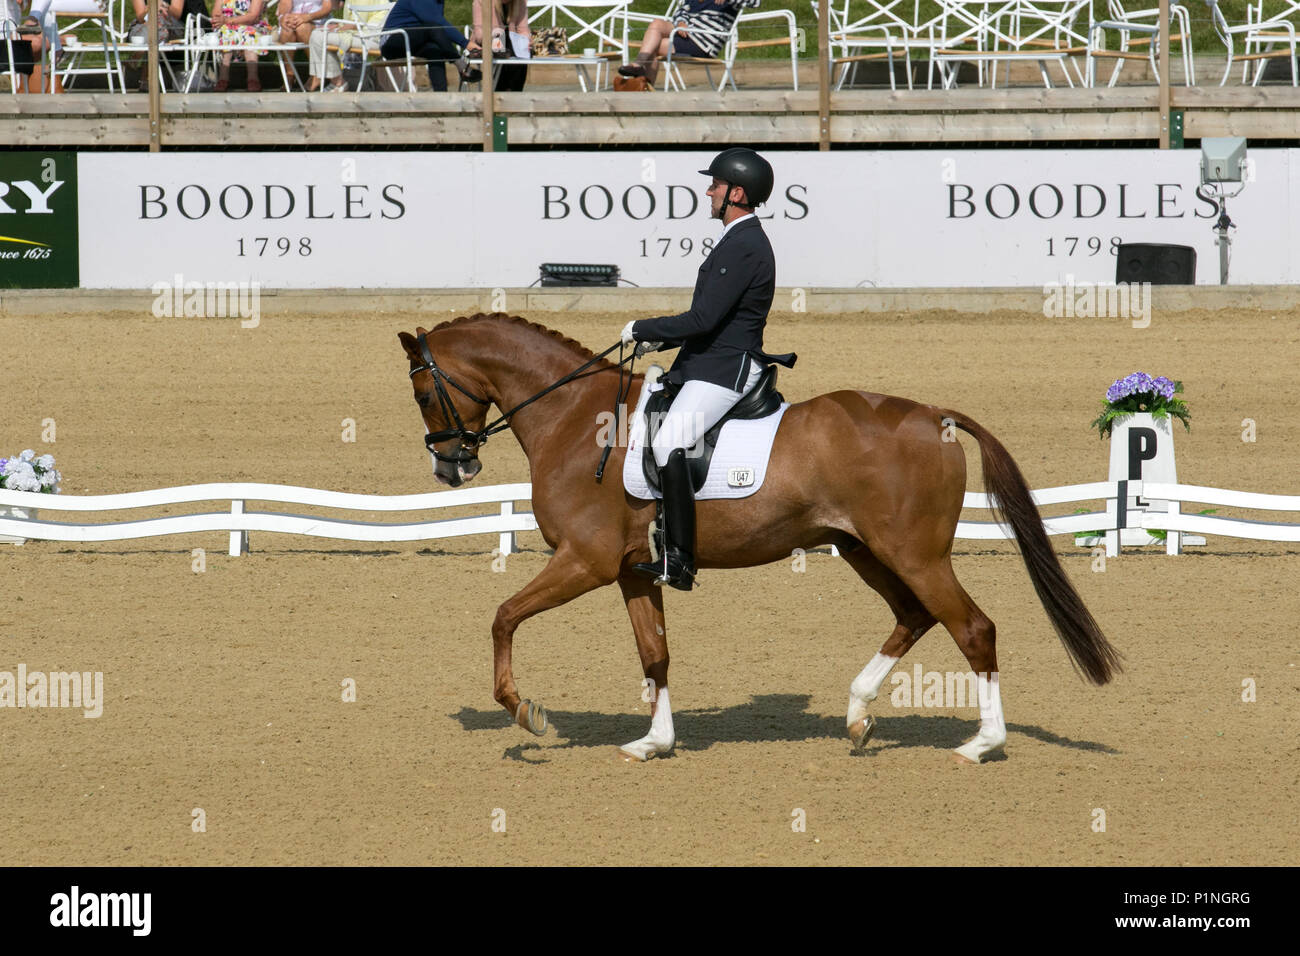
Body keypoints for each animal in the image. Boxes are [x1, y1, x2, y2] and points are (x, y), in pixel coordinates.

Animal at [395, 314, 1118, 764]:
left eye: (424, 392)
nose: (450, 468)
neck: (574, 420)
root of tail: (935, 415)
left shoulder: (584, 562)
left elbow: (502, 616)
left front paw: (525, 712)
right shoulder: (630, 570)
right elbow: (655, 655)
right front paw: (653, 744)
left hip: (913, 554)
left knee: (973, 628)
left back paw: (979, 745)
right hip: (865, 549)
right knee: (915, 616)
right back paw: (858, 716)